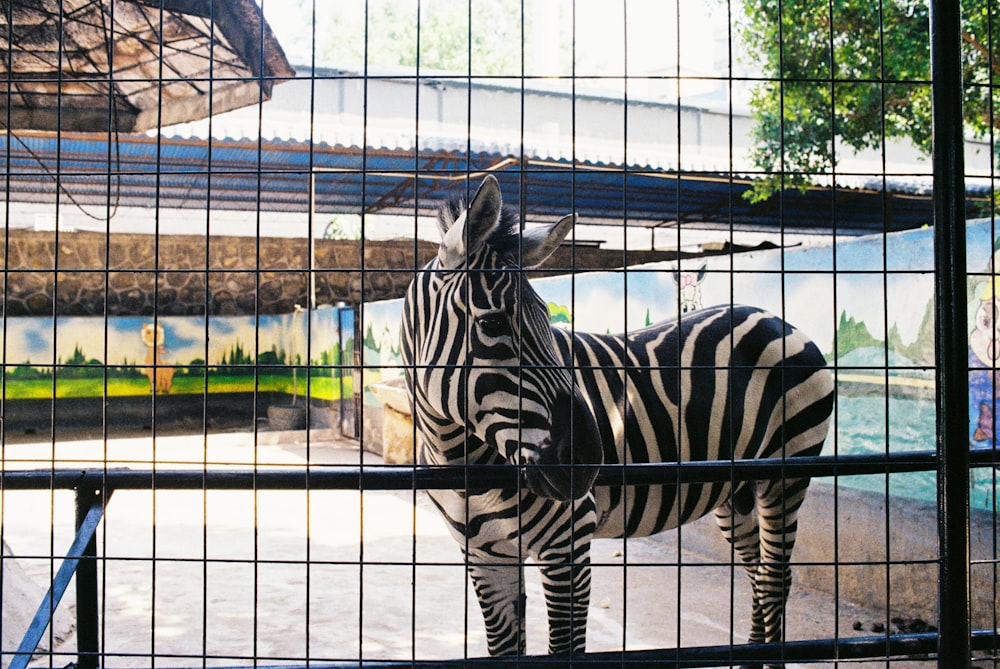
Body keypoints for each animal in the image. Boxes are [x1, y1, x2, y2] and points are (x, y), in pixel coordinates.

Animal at [398, 175, 836, 664]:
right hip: (734, 489)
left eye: (548, 320)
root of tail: (772, 316)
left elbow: (565, 647)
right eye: (492, 323)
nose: (590, 460)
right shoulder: (486, 556)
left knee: (776, 578)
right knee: (760, 575)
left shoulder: (568, 541)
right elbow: (505, 648)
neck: (462, 460)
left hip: (785, 474)